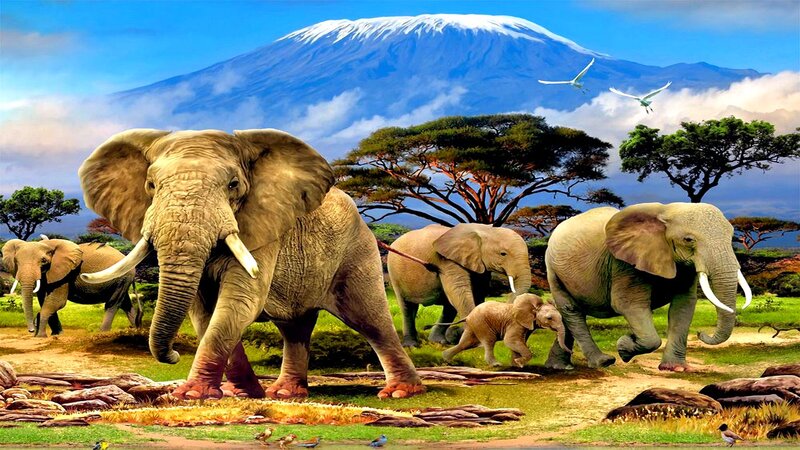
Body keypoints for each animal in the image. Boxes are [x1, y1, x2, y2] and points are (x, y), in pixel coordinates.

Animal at [1, 239, 140, 337]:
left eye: (44, 261)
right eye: (16, 261)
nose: (31, 330)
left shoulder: (65, 274)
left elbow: (57, 301)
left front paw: (40, 336)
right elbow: (44, 300)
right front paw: (56, 335)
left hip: (122, 277)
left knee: (112, 303)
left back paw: (102, 332)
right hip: (122, 280)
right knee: (125, 303)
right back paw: (137, 330)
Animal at [78, 128, 423, 400]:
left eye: (233, 185)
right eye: (151, 185)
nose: (173, 354)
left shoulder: (264, 229)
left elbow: (239, 301)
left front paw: (190, 395)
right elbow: (204, 311)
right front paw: (242, 393)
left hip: (356, 251)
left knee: (370, 319)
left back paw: (401, 392)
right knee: (295, 327)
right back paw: (285, 393)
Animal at [387, 223, 531, 347]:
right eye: (503, 253)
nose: (425, 326)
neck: (482, 229)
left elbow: (478, 293)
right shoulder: (447, 260)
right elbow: (458, 291)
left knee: (448, 307)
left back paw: (439, 341)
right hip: (394, 271)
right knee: (406, 307)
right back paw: (411, 345)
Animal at [543, 203, 753, 371]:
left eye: (732, 236)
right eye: (688, 239)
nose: (701, 333)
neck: (667, 211)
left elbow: (683, 306)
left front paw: (675, 368)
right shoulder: (625, 264)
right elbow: (629, 305)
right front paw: (624, 346)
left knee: (567, 316)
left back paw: (559, 367)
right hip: (553, 270)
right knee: (572, 311)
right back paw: (603, 362)